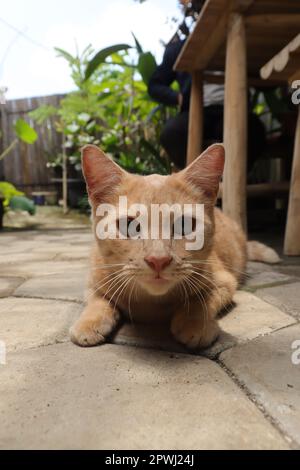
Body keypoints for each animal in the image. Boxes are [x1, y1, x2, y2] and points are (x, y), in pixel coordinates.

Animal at [70, 144, 278, 348]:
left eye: (184, 225)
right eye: (128, 225)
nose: (158, 260)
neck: (150, 304)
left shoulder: (224, 281)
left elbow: (200, 300)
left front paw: (195, 323)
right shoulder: (93, 280)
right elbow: (98, 299)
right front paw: (89, 321)